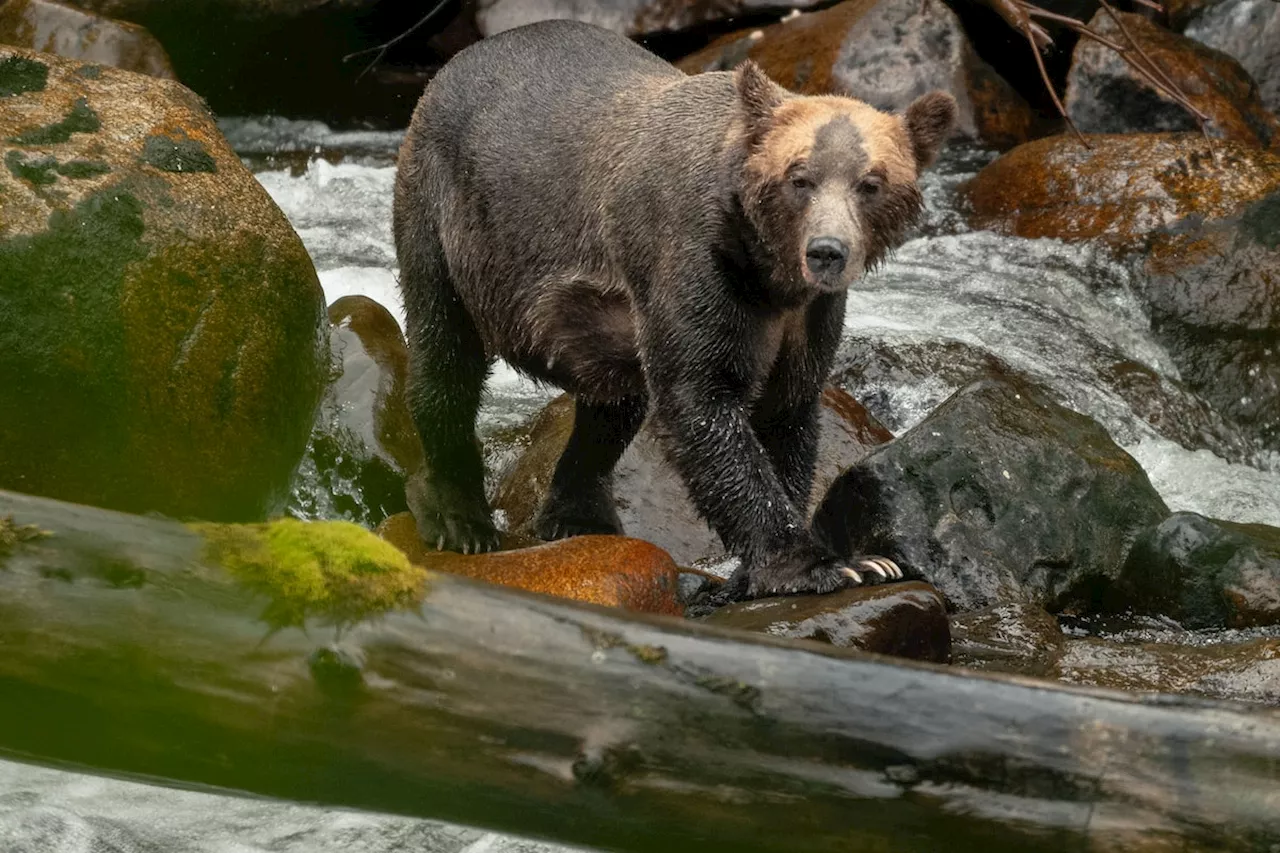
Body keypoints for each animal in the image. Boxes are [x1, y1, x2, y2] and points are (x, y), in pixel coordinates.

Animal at [394, 14, 957, 596]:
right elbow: (702, 399)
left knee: (613, 404)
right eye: (800, 177)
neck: (763, 269)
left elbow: (789, 410)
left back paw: (578, 515)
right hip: (446, 219)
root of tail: (458, 62)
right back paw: (458, 518)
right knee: (446, 358)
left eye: (871, 183)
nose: (827, 251)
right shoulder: (694, 264)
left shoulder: (807, 315)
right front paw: (829, 565)